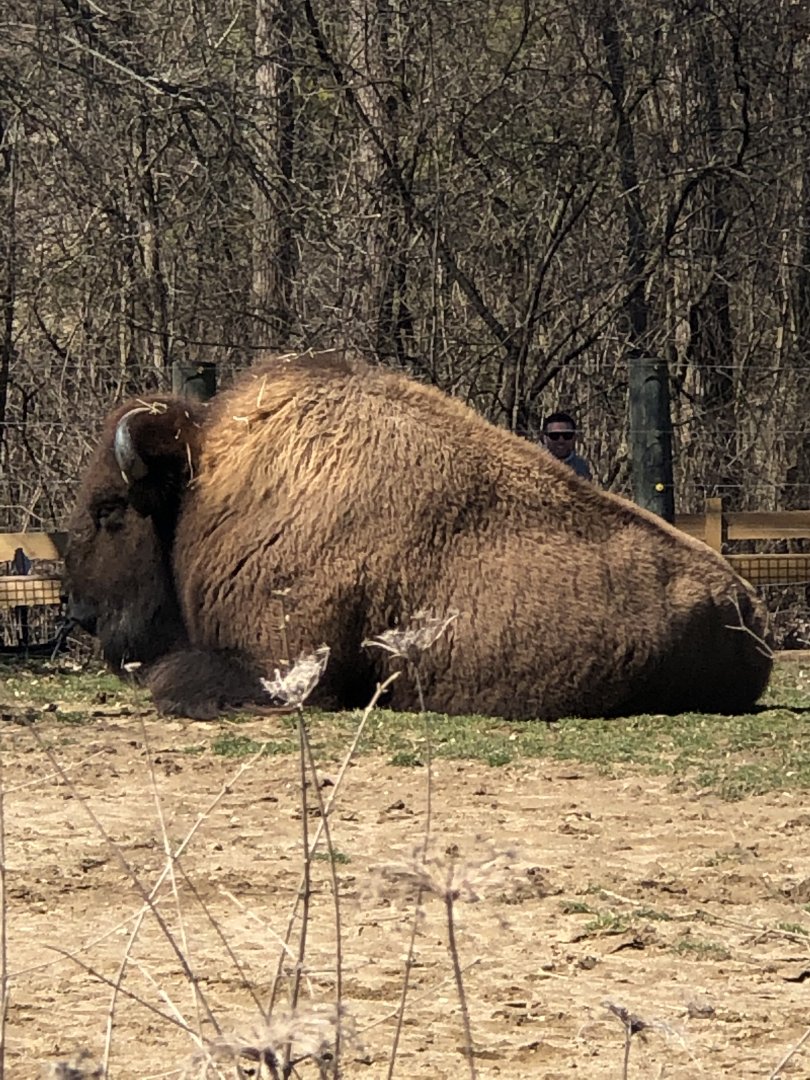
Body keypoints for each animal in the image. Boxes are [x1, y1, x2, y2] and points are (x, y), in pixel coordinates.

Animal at [64, 350, 772, 720]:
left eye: (111, 510)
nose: (81, 614)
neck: (207, 483)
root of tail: (752, 608)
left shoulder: (281, 667)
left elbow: (169, 679)